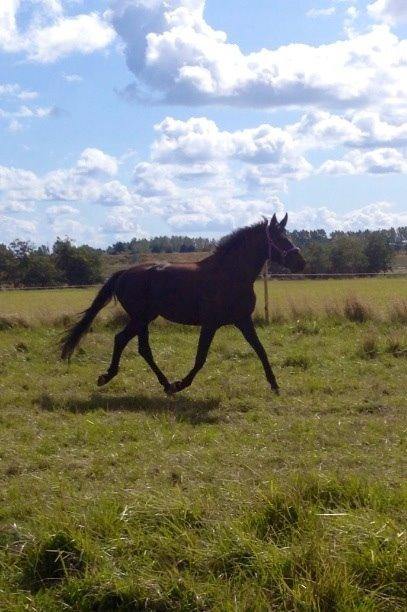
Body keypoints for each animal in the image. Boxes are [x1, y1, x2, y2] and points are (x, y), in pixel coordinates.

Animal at [61, 214, 306, 396]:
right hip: (141, 318)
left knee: (126, 341)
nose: (301, 262)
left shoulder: (243, 320)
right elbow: (200, 358)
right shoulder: (210, 324)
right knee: (137, 346)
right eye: (279, 238)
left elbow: (260, 349)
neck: (228, 275)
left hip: (144, 318)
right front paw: (181, 384)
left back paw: (122, 378)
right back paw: (163, 384)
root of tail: (124, 273)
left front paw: (275, 385)